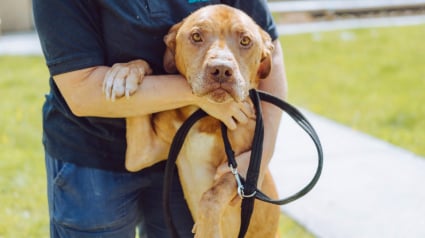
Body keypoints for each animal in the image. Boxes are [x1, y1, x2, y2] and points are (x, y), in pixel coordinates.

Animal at [104, 4, 280, 238]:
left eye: (245, 41)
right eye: (196, 36)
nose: (221, 70)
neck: (202, 116)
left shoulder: (243, 169)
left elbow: (212, 196)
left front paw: (206, 229)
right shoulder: (140, 155)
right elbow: (140, 77)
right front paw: (126, 72)